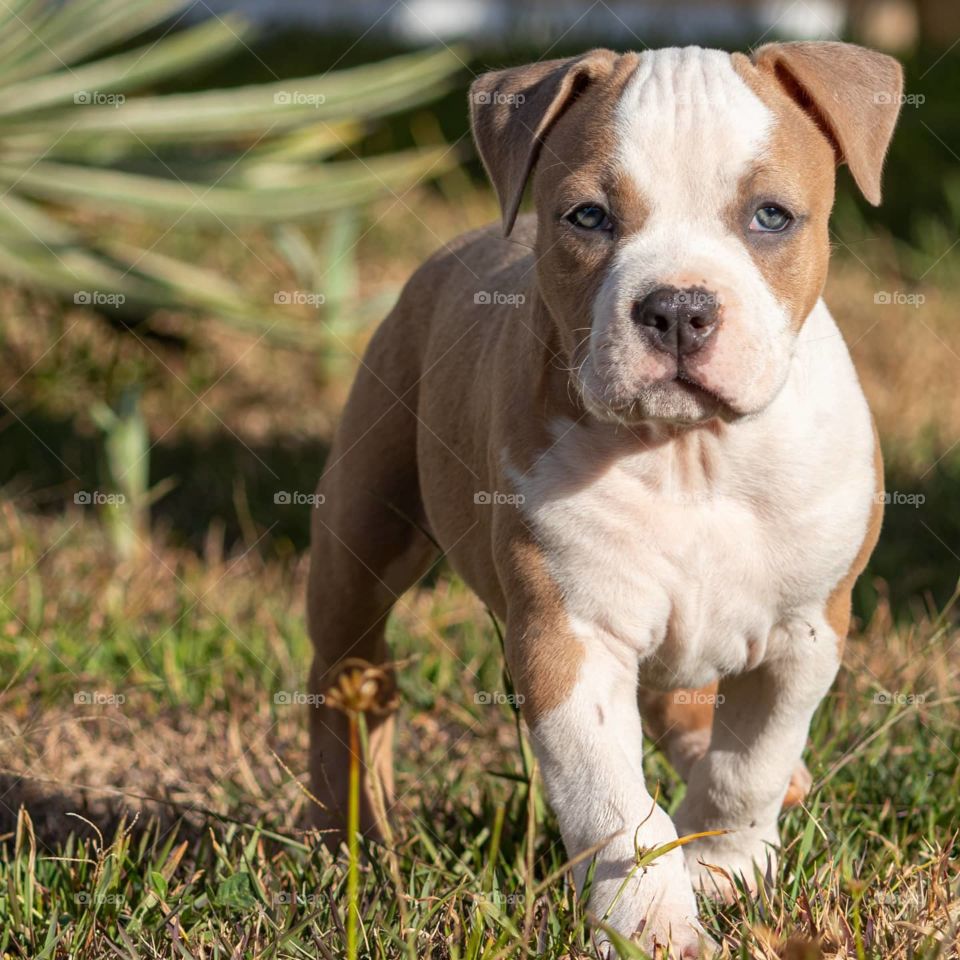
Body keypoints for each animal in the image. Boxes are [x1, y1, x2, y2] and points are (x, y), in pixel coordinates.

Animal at [308, 43, 900, 960]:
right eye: (587, 217)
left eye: (770, 216)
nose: (679, 308)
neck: (692, 455)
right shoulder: (568, 635)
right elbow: (615, 802)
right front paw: (653, 922)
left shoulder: (806, 629)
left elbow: (751, 765)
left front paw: (724, 868)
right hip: (362, 530)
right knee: (348, 681)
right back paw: (350, 839)